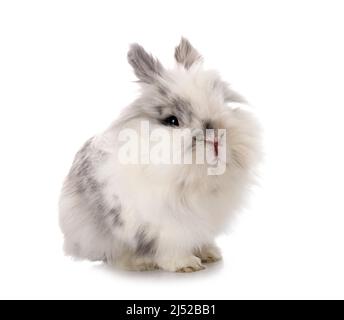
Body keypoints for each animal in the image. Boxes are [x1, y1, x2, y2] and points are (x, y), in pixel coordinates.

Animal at [59, 37, 262, 272]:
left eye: (223, 104)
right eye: (172, 120)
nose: (216, 139)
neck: (194, 182)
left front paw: (210, 254)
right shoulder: (164, 225)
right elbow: (170, 245)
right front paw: (186, 265)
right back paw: (139, 263)